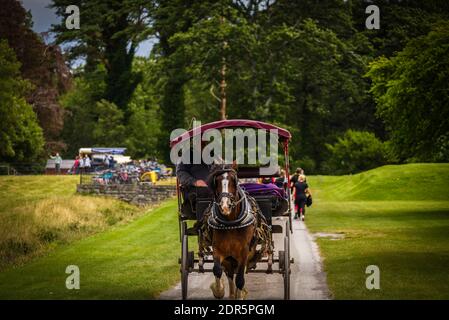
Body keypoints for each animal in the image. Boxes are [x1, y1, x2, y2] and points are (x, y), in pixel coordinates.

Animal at [206, 164, 258, 298]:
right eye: (216, 182)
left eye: (234, 181)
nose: (225, 206)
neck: (230, 224)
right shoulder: (217, 249)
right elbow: (217, 270)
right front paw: (218, 291)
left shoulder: (244, 253)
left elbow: (240, 279)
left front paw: (240, 294)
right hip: (229, 260)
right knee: (229, 274)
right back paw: (231, 294)